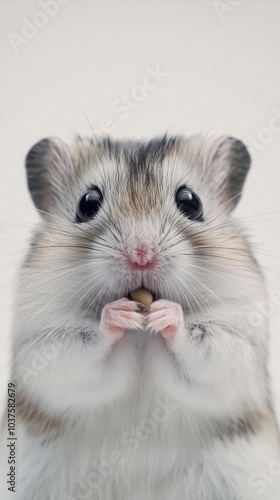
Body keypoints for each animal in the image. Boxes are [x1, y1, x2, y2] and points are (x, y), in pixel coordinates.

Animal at [9, 134, 278, 500]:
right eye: (87, 203)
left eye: (191, 202)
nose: (141, 257)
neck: (140, 338)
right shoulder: (44, 348)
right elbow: (87, 354)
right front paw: (119, 315)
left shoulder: (235, 344)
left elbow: (201, 357)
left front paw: (166, 314)